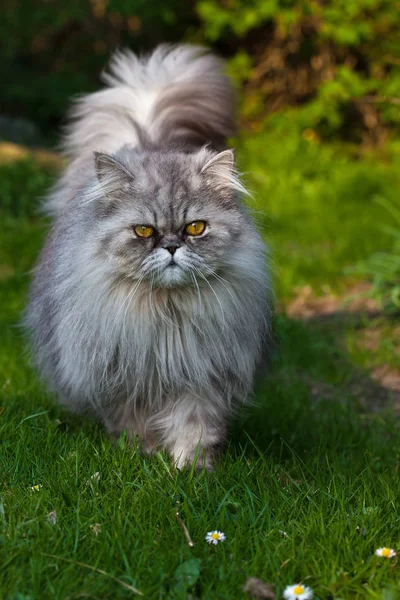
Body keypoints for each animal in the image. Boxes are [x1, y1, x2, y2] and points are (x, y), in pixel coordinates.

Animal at [26, 44, 272, 472]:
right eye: (144, 231)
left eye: (195, 228)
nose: (171, 247)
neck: (165, 315)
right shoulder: (124, 379)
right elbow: (135, 425)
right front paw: (145, 458)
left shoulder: (202, 377)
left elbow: (194, 426)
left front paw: (191, 471)